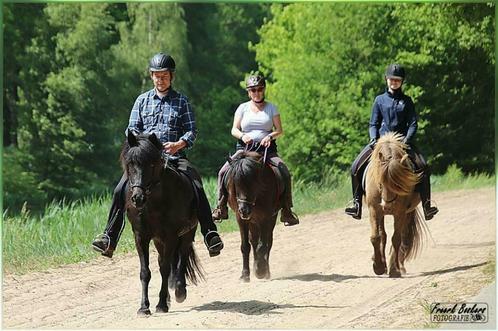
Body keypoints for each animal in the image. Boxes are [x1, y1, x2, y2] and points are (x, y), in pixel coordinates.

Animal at [122, 131, 202, 316]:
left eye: (151, 164)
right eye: (130, 164)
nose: (137, 198)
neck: (153, 203)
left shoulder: (171, 235)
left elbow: (165, 269)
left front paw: (161, 305)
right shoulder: (141, 236)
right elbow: (145, 272)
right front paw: (144, 307)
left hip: (188, 233)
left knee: (182, 258)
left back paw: (179, 291)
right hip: (158, 241)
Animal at [226, 151, 280, 282]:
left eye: (254, 182)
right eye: (235, 183)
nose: (244, 210)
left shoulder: (266, 218)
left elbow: (263, 246)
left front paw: (260, 270)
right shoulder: (241, 220)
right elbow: (246, 246)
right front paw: (245, 274)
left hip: (269, 220)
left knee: (268, 243)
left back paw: (265, 271)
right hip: (253, 223)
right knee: (254, 241)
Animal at [364, 132, 426, 278]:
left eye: (398, 184)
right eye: (380, 182)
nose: (387, 206)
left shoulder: (400, 212)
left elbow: (396, 239)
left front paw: (394, 270)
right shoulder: (374, 210)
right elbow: (375, 237)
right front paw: (378, 267)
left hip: (407, 213)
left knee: (403, 237)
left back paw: (399, 267)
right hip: (381, 213)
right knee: (383, 235)